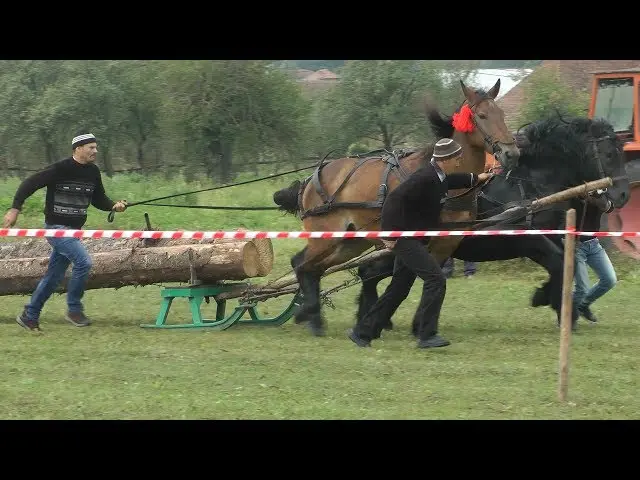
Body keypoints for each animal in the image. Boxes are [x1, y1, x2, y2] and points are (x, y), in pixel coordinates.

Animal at [274, 79, 520, 336]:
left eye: (502, 114)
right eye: (482, 115)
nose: (511, 154)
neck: (447, 179)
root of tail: (311, 179)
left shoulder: (446, 241)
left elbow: (428, 278)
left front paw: (417, 323)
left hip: (350, 242)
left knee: (311, 267)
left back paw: (310, 315)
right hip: (326, 237)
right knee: (303, 265)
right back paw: (311, 316)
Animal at [356, 114, 632, 336]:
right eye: (609, 154)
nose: (623, 195)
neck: (530, 187)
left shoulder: (554, 236)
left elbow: (568, 263)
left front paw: (555, 302)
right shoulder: (529, 240)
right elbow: (559, 262)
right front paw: (552, 303)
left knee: (371, 273)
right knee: (368, 272)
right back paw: (368, 319)